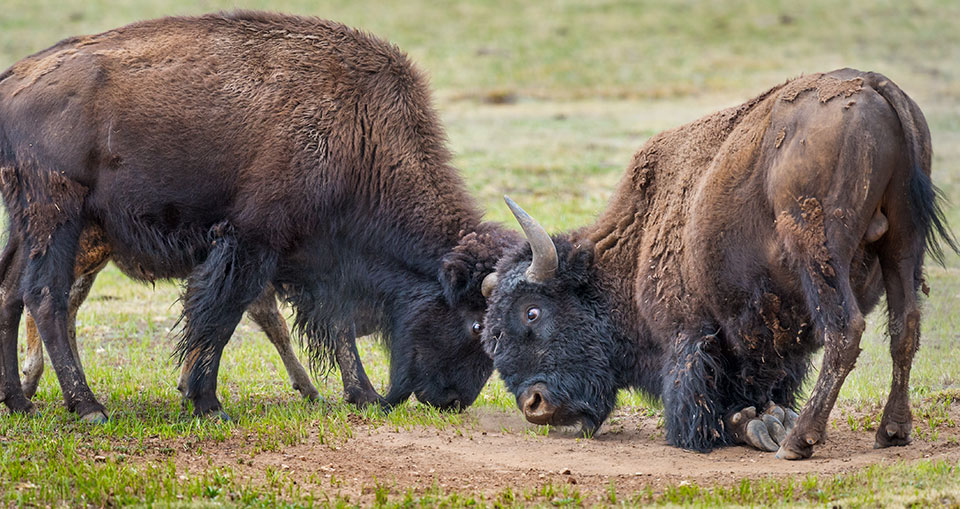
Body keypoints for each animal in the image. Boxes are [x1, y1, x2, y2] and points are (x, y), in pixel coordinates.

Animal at [1, 11, 516, 422]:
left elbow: (337, 327)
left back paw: (19, 402)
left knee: (10, 291)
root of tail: (14, 80)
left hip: (29, 223)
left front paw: (363, 395)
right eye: (477, 326)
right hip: (58, 214)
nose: (453, 399)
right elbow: (221, 318)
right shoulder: (250, 241)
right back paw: (88, 407)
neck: (358, 131)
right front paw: (207, 404)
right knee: (45, 296)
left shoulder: (322, 258)